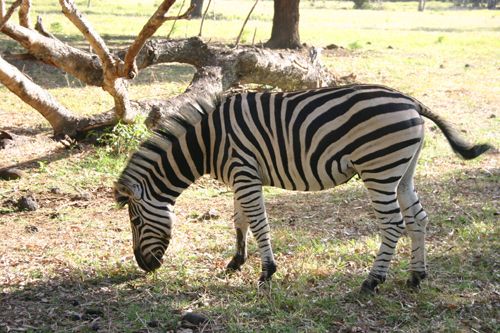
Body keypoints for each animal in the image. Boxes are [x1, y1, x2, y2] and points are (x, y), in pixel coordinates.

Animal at [114, 83, 492, 294]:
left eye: (135, 222)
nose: (144, 266)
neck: (208, 142)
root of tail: (411, 101)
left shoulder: (245, 173)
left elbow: (258, 223)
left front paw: (266, 272)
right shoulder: (240, 175)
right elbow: (240, 220)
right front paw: (236, 262)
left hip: (379, 170)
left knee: (394, 224)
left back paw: (372, 282)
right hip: (403, 171)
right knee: (418, 219)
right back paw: (416, 277)